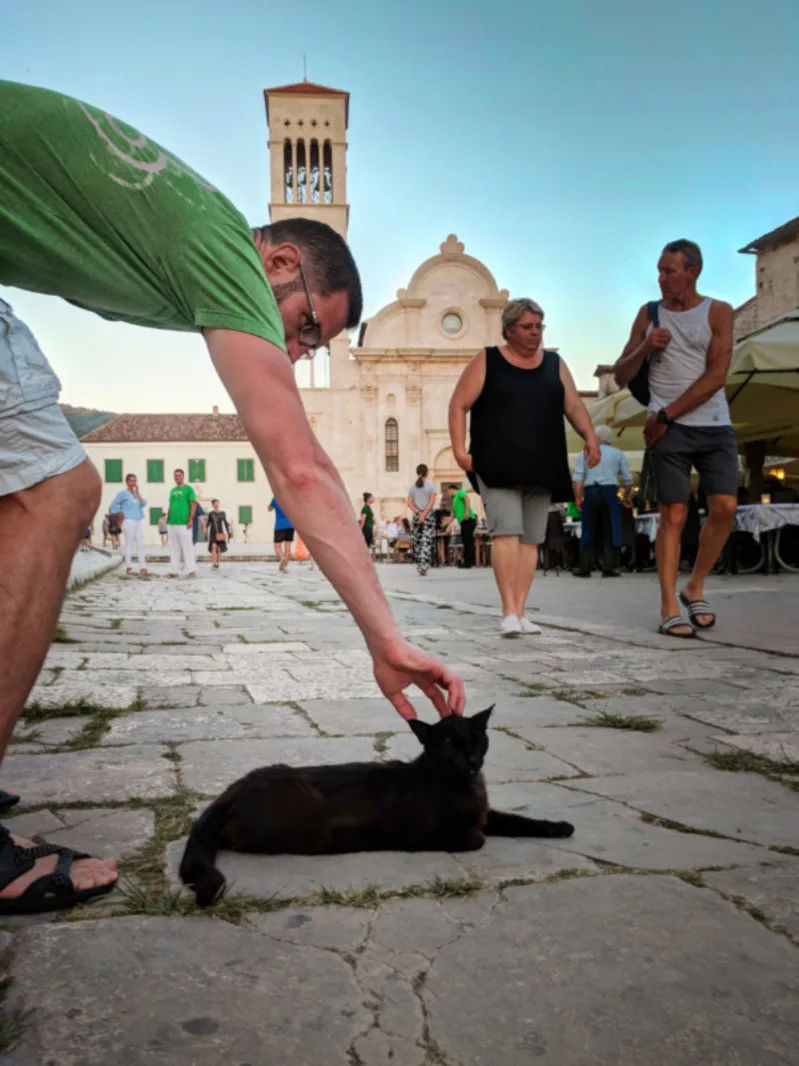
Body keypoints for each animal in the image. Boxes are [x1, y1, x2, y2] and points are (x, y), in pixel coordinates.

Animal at [180, 707, 575, 908]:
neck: (464, 785)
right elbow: (476, 838)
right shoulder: (428, 834)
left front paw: (559, 827)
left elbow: (519, 820)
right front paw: (476, 836)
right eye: (449, 743)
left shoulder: (488, 813)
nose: (472, 759)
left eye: (477, 739)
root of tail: (229, 792)